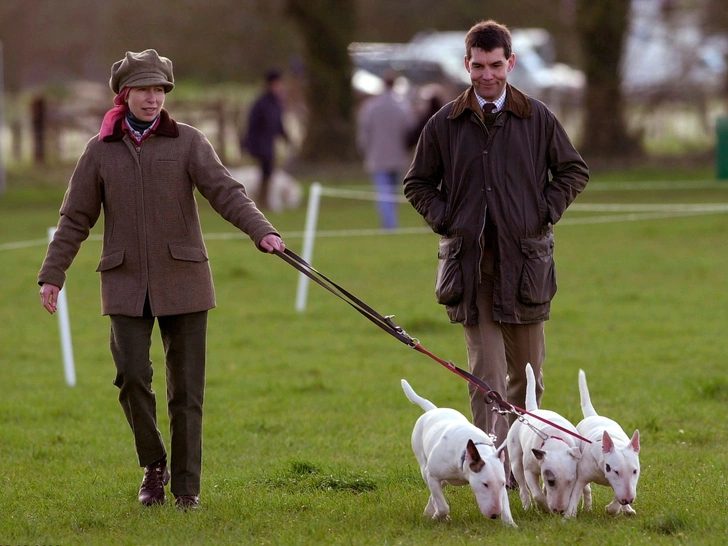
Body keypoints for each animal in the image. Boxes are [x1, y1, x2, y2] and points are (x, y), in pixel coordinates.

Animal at [400, 378, 516, 524]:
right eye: (485, 484)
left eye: (502, 483)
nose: (495, 515)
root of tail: (434, 410)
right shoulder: (432, 475)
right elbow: (442, 505)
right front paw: (440, 516)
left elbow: (505, 502)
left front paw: (509, 523)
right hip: (422, 462)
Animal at [504, 364, 584, 512]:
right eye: (551, 481)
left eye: (570, 481)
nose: (559, 511)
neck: (555, 441)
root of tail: (532, 410)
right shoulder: (529, 471)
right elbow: (537, 494)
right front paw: (545, 507)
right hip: (515, 457)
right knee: (522, 486)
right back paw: (527, 505)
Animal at [564, 368, 640, 516]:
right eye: (616, 471)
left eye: (635, 471)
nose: (629, 499)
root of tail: (594, 416)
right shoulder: (581, 478)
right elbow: (575, 494)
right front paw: (568, 516)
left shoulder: (620, 486)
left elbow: (617, 497)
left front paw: (613, 508)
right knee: (586, 490)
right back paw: (587, 507)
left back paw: (627, 510)